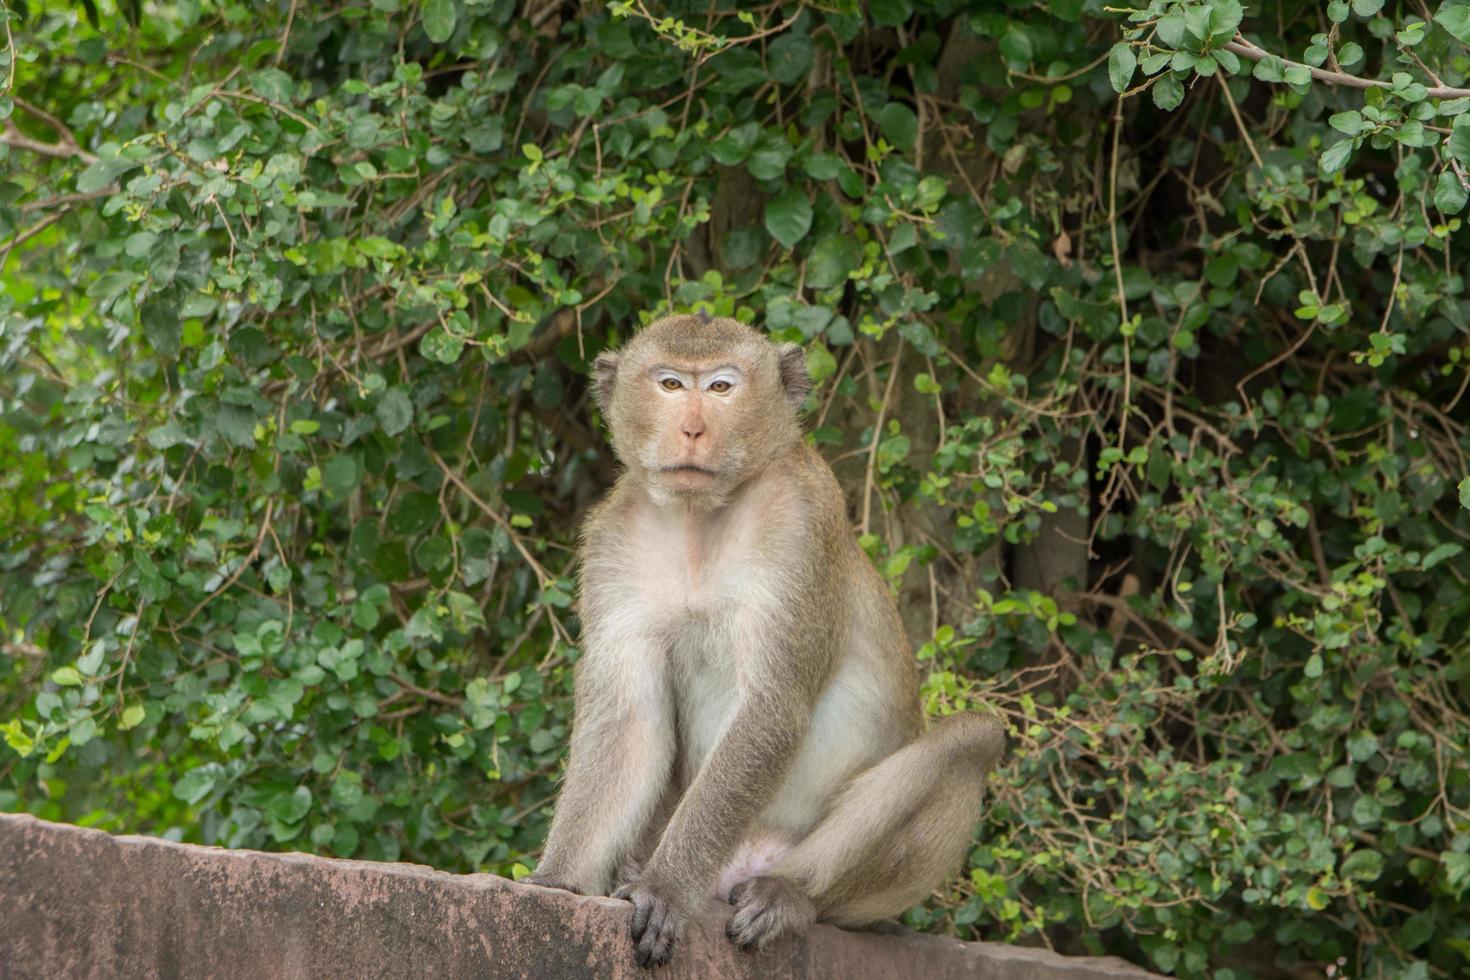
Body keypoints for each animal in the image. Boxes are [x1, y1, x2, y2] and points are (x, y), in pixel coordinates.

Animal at [523, 312, 1005, 963]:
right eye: (671, 384)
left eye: (721, 387)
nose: (693, 428)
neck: (699, 517)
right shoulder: (611, 543)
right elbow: (628, 719)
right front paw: (558, 881)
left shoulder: (801, 520)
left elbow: (773, 709)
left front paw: (664, 888)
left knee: (974, 738)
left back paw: (790, 895)